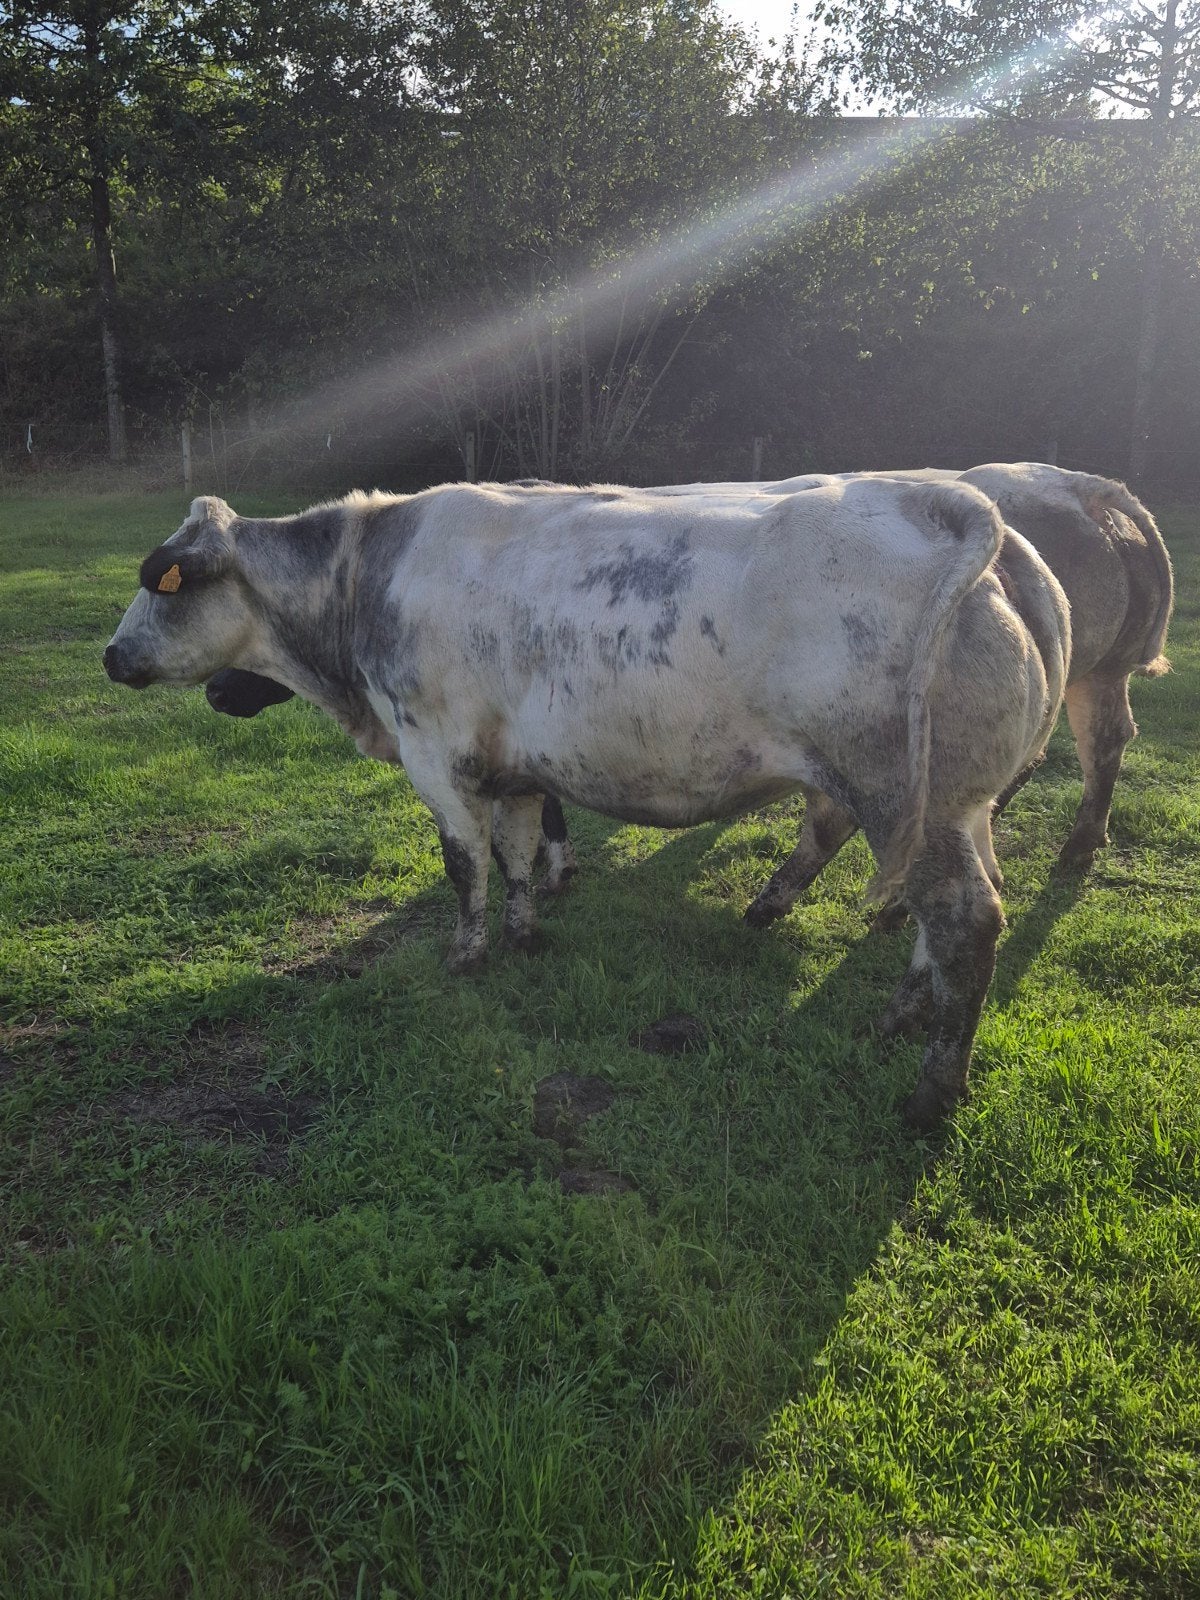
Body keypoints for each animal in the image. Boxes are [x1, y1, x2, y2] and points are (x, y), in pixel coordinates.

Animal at [104, 477, 1069, 1127]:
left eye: (163, 582)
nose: (111, 656)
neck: (365, 581)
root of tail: (945, 506)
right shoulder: (517, 767)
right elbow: (518, 851)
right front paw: (526, 933)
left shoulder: (435, 754)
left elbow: (463, 864)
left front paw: (467, 955)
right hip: (960, 806)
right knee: (960, 904)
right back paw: (901, 1012)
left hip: (915, 801)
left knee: (965, 920)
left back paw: (932, 1089)